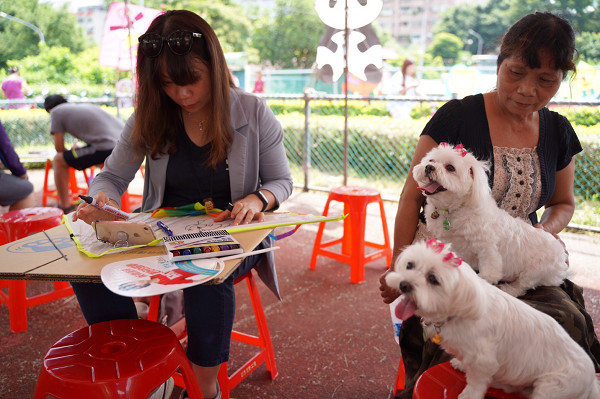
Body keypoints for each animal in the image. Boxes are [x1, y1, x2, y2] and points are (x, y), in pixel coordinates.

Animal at [386, 241, 596, 399]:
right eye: (410, 265)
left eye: (433, 279)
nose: (404, 285)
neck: (461, 308)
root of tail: (592, 381)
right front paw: (461, 364)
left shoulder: (484, 360)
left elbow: (477, 383)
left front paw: (468, 395)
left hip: (551, 387)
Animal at [412, 144, 568, 296]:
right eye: (431, 160)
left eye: (450, 167)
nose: (428, 167)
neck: (455, 210)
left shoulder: (487, 248)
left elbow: (490, 270)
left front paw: (484, 280)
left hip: (536, 270)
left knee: (522, 285)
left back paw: (509, 289)